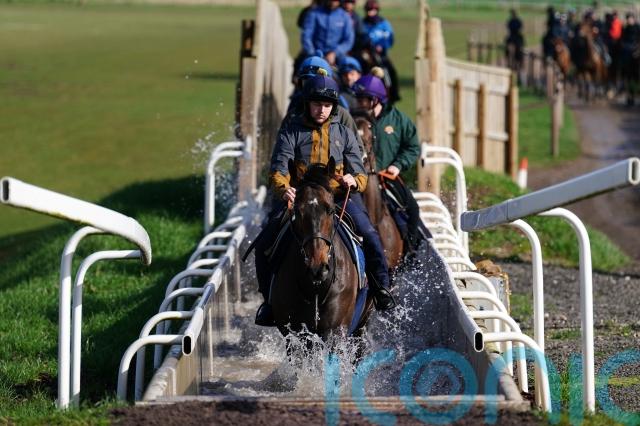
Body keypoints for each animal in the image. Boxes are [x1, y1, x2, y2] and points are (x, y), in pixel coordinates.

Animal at [269, 159, 372, 343]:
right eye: (296, 211)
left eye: (330, 210)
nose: (317, 267)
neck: (315, 288)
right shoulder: (294, 334)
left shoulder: (335, 331)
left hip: (362, 325)